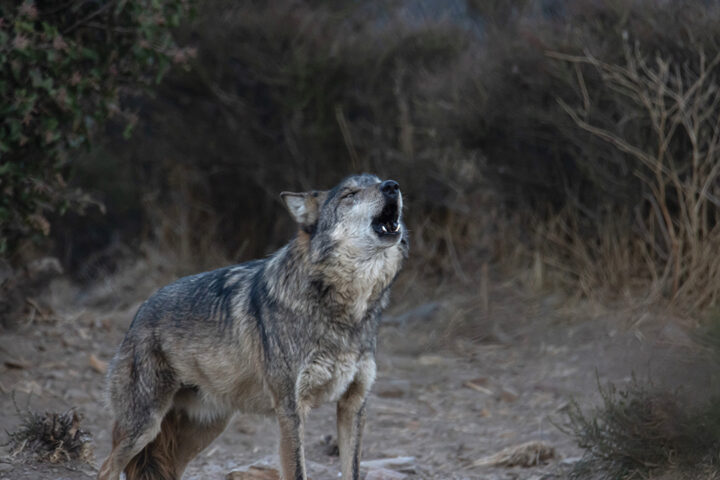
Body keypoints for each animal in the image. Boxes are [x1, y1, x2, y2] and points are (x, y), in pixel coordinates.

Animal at [97, 174, 409, 480]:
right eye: (350, 194)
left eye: (378, 180)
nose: (392, 186)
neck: (347, 308)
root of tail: (140, 312)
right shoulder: (291, 410)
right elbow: (297, 470)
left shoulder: (353, 406)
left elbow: (352, 469)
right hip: (144, 427)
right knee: (106, 467)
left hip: (204, 430)